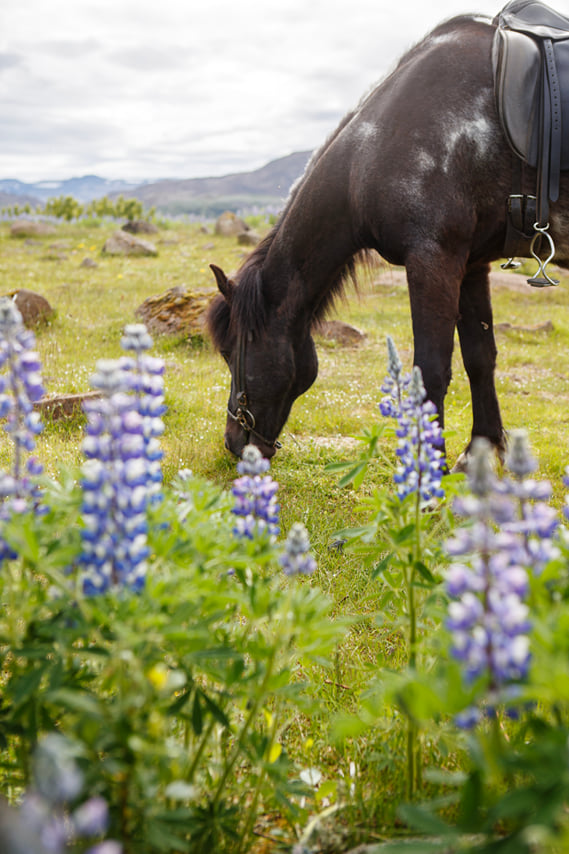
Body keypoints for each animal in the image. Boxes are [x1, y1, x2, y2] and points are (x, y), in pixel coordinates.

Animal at [207, 5, 569, 460]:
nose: (234, 443)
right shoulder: (471, 265)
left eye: (228, 350)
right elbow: (480, 357)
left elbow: (430, 374)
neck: (374, 146)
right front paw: (479, 452)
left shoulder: (433, 259)